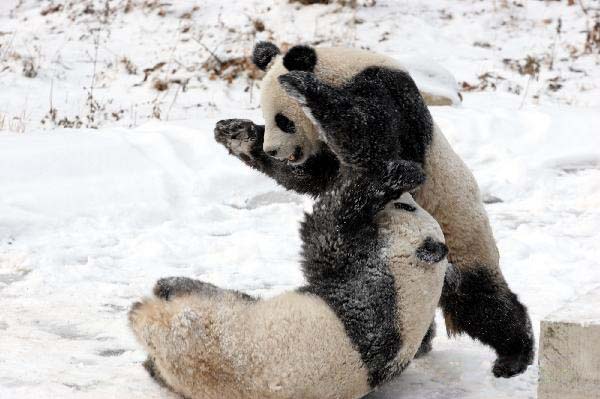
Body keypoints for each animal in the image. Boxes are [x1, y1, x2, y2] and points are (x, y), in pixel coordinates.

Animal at [131, 110, 450, 399]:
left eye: (407, 208)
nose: (406, 198)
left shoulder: (371, 287)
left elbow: (325, 232)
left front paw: (395, 176)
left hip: (225, 311)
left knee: (196, 292)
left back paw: (159, 291)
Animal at [214, 42, 536, 380]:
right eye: (265, 115)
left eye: (284, 120)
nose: (273, 151)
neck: (343, 70)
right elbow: (320, 174)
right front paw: (236, 134)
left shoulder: (386, 94)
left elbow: (375, 145)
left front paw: (301, 86)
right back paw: (426, 344)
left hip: (462, 239)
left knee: (482, 305)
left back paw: (514, 356)